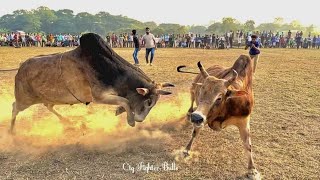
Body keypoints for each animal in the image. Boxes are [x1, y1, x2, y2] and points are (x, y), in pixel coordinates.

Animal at [10, 33, 174, 133]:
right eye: (149, 102)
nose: (140, 120)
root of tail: (20, 68)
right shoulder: (99, 97)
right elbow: (125, 101)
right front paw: (130, 120)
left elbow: (125, 101)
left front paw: (120, 111)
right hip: (25, 100)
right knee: (14, 107)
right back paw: (11, 131)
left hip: (49, 98)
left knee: (48, 106)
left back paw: (67, 121)